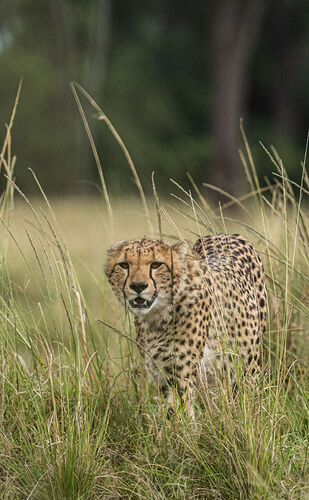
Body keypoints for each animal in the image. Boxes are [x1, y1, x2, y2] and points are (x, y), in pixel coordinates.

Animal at [105, 234, 264, 418]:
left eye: (156, 264)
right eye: (124, 265)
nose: (138, 286)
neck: (156, 316)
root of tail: (227, 234)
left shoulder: (180, 377)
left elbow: (178, 414)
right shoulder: (160, 375)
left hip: (248, 363)